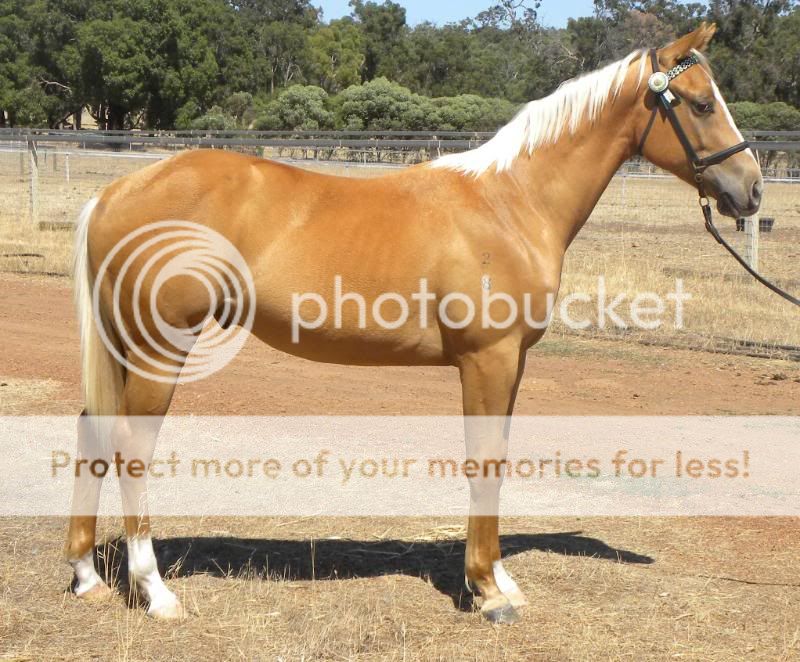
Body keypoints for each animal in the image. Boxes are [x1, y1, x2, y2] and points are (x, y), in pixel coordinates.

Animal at [67, 23, 762, 624]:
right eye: (702, 104)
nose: (751, 189)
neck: (511, 202)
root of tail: (114, 193)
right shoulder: (488, 359)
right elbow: (484, 460)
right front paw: (487, 590)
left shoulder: (512, 363)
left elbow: (497, 456)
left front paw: (500, 578)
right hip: (161, 347)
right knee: (131, 448)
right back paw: (154, 591)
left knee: (94, 433)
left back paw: (87, 576)